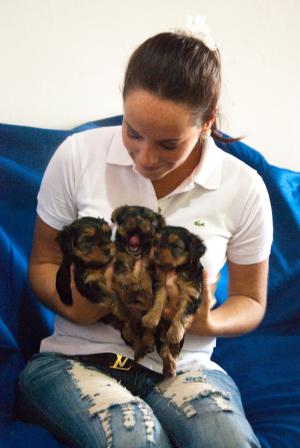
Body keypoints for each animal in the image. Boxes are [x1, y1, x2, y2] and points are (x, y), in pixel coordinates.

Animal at [142, 226, 207, 376]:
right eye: (155, 242)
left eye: (175, 246)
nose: (155, 252)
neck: (176, 268)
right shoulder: (160, 284)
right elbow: (158, 301)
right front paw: (151, 318)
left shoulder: (192, 294)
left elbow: (182, 313)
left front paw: (175, 332)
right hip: (159, 333)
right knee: (162, 348)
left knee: (172, 349)